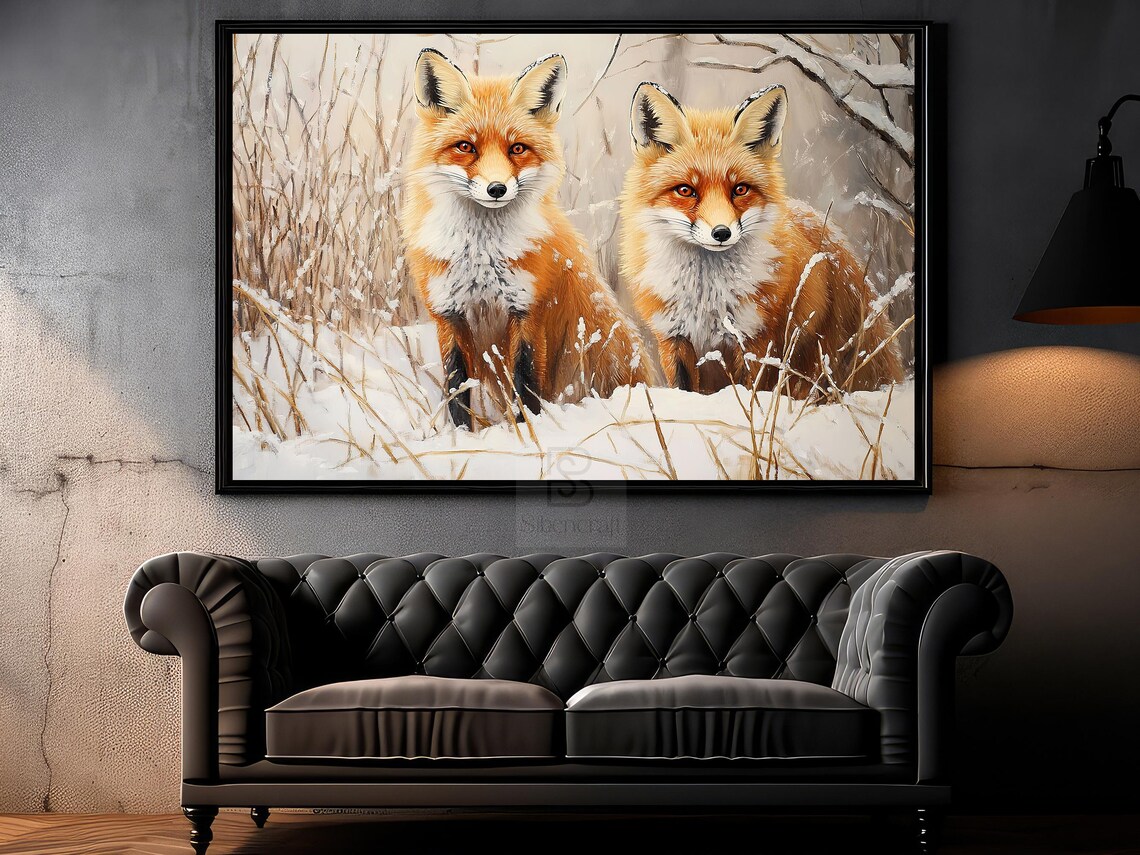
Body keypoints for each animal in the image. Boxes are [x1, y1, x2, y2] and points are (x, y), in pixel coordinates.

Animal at [399, 49, 648, 430]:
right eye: (465, 147)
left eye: (517, 148)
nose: (497, 189)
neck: (480, 257)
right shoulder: (447, 315)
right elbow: (457, 389)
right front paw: (461, 436)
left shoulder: (529, 311)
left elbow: (525, 382)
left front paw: (528, 433)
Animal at [618, 82, 904, 398]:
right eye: (685, 190)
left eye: (740, 189)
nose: (721, 233)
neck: (706, 298)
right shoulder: (674, 339)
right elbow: (686, 390)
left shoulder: (754, 339)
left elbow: (750, 393)